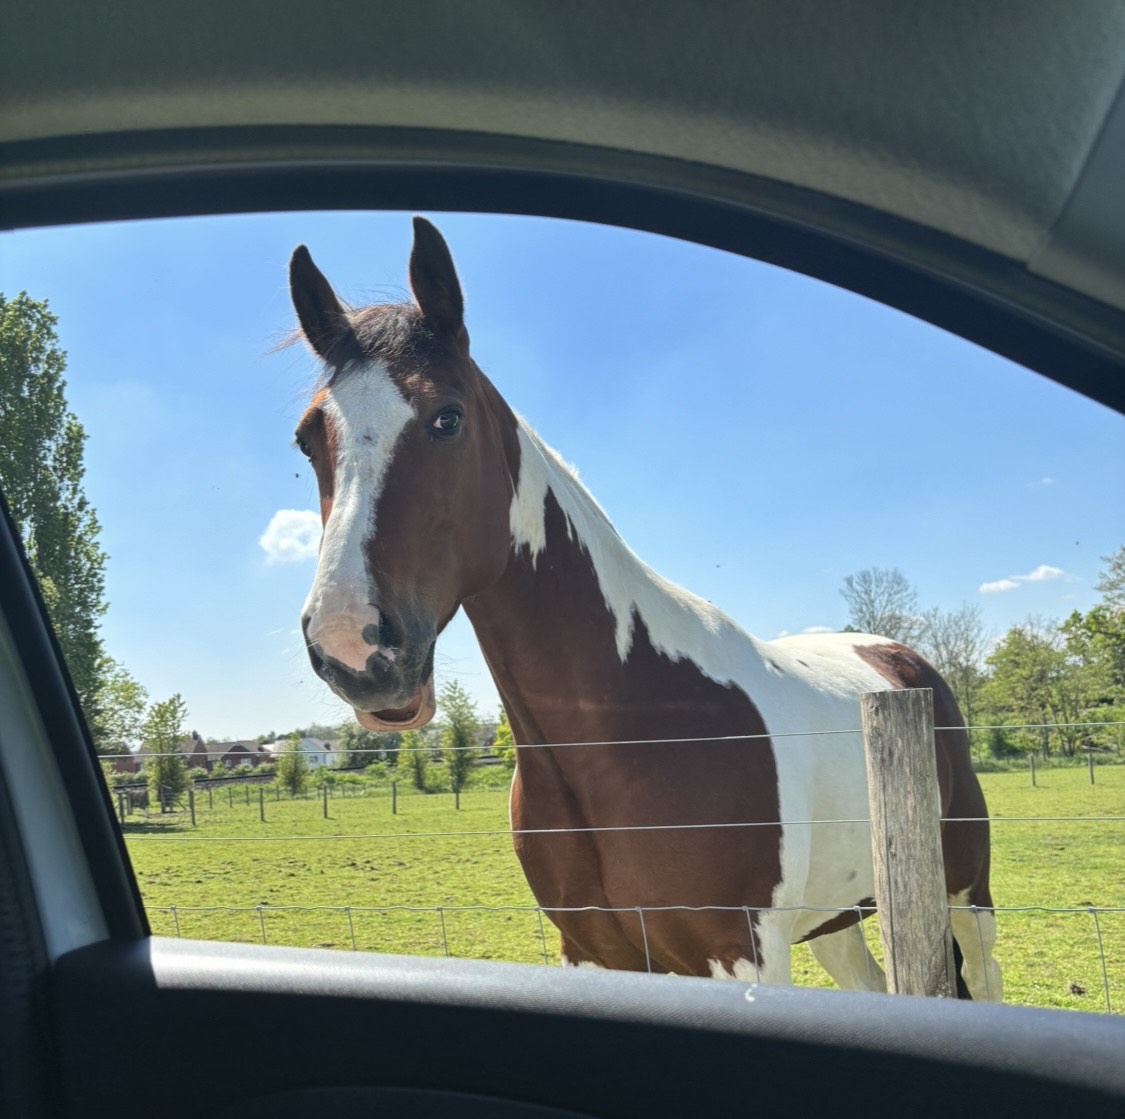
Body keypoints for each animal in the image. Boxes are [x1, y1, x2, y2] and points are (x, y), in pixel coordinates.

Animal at [288, 217, 1002, 999]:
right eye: (307, 438)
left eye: (446, 419)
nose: (352, 647)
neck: (635, 722)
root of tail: (901, 661)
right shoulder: (594, 951)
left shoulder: (743, 954)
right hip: (837, 919)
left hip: (965, 895)